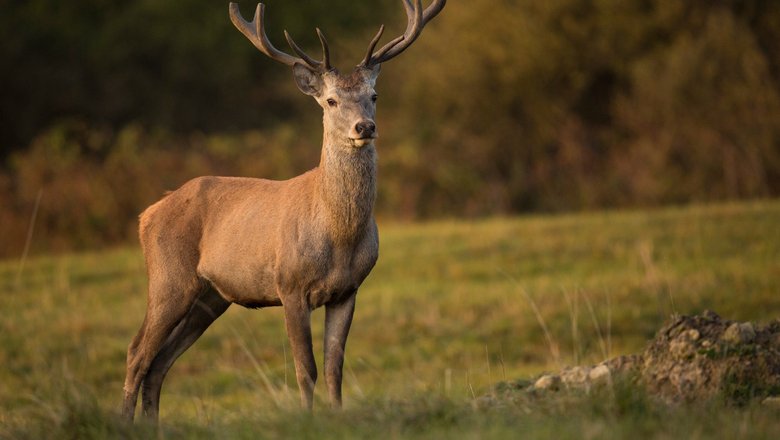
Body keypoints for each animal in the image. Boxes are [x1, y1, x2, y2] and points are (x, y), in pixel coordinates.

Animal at [119, 0, 442, 422]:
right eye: (331, 100)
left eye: (374, 95)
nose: (364, 127)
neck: (338, 236)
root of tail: (147, 214)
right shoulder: (289, 285)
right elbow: (306, 368)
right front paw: (307, 418)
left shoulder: (348, 290)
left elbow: (335, 366)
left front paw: (337, 416)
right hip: (168, 278)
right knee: (137, 352)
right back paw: (123, 423)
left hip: (211, 296)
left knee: (159, 362)